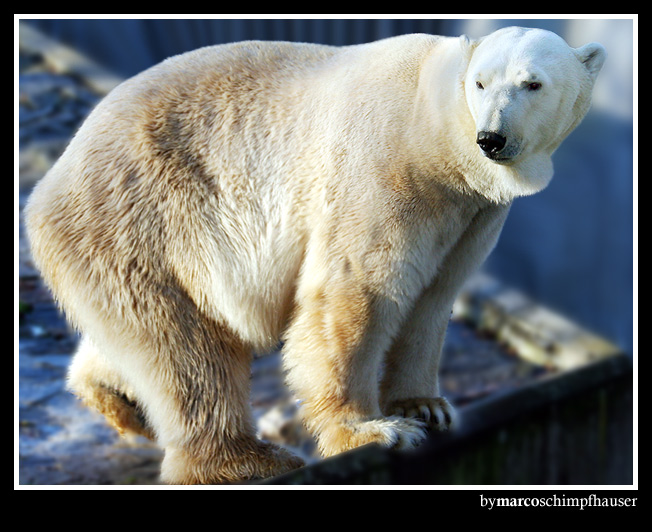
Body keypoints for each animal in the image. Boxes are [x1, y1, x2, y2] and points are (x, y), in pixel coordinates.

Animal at [26, 27, 608, 484]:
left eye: (533, 83)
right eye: (481, 83)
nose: (493, 138)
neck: (437, 128)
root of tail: (51, 179)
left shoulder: (472, 216)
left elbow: (434, 297)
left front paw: (426, 405)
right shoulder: (386, 172)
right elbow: (357, 290)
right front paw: (373, 430)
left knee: (142, 333)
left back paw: (118, 400)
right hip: (149, 215)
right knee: (186, 349)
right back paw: (246, 459)